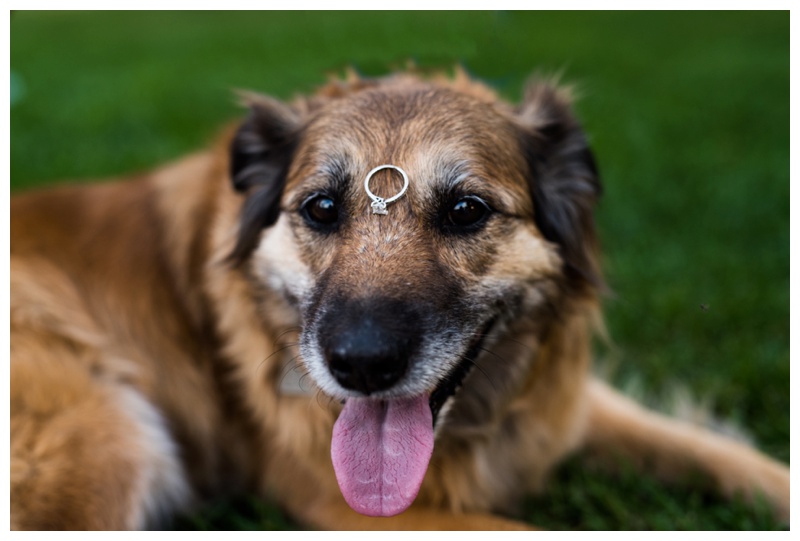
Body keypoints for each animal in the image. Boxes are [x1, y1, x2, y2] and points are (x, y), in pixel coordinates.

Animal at [9, 67, 792, 528]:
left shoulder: (561, 407)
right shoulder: (342, 501)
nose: (360, 364)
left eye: (467, 211)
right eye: (322, 207)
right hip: (102, 448)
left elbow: (720, 452)